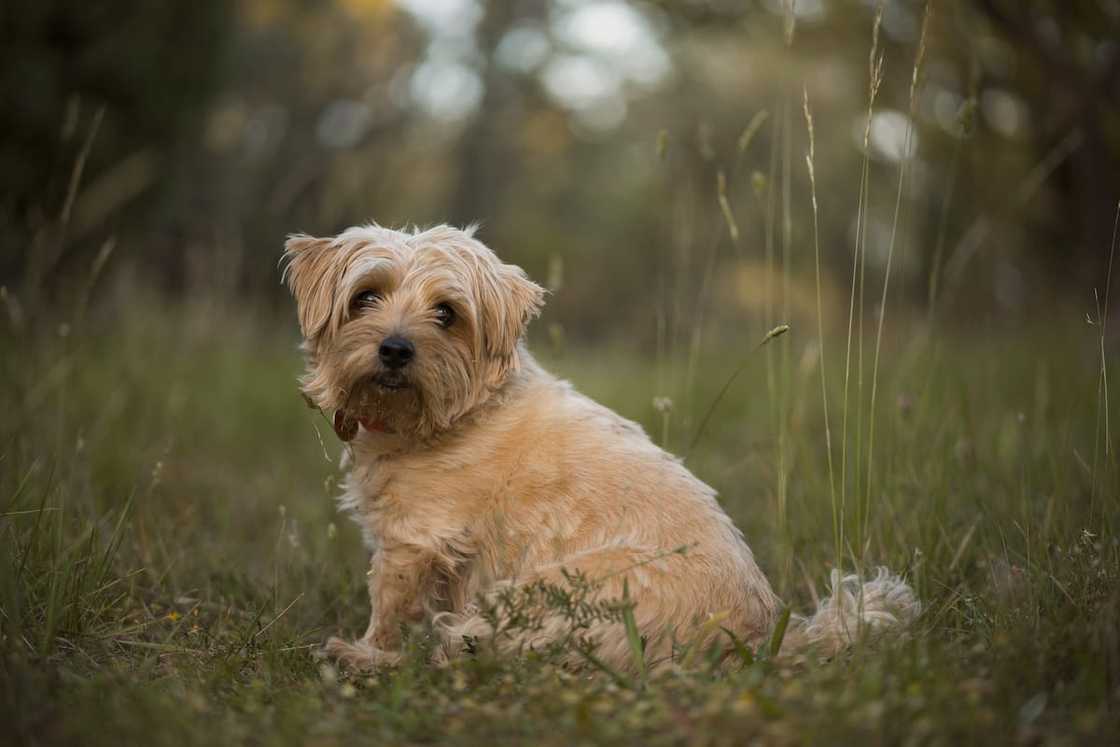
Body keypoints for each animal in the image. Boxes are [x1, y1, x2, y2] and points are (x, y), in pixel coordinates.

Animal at [282, 221, 918, 671]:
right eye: (365, 297)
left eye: (447, 313)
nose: (394, 349)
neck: (453, 414)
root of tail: (758, 642)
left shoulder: (414, 541)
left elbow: (388, 608)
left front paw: (364, 654)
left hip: (550, 588)